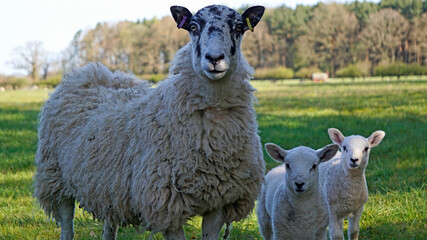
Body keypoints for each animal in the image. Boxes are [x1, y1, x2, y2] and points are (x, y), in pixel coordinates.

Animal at [34, 4, 268, 240]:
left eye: (239, 27)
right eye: (193, 27)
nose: (214, 58)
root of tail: (92, 73)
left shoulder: (220, 201)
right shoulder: (165, 204)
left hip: (109, 185)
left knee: (110, 223)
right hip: (54, 175)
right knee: (66, 222)